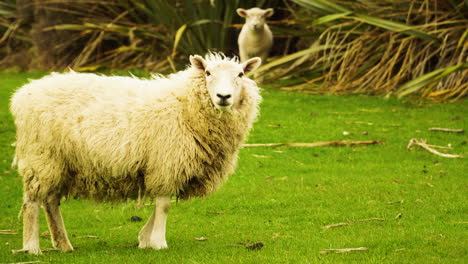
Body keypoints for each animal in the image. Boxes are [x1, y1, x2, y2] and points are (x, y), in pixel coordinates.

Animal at [10, 52, 264, 255]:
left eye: (241, 74)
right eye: (208, 73)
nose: (223, 97)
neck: (185, 104)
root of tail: (22, 94)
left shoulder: (164, 167)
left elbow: (160, 204)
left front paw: (145, 238)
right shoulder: (166, 162)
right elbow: (164, 205)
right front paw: (158, 242)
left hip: (61, 163)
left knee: (51, 202)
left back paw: (63, 244)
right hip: (41, 156)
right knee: (32, 202)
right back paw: (32, 248)